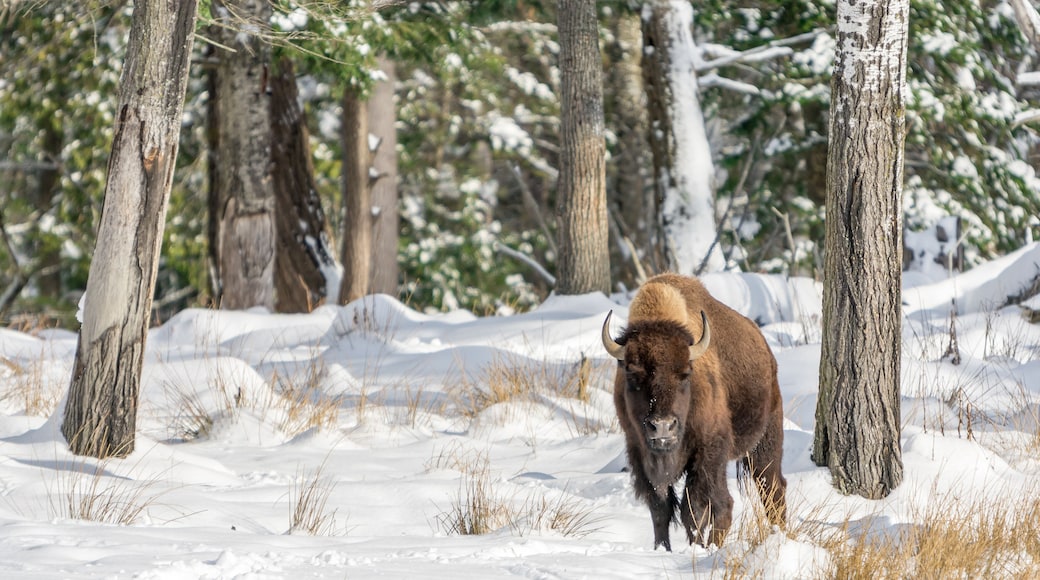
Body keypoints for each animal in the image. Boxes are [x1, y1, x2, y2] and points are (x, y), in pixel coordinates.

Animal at [602, 273, 786, 550]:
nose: (663, 426)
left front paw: (698, 548)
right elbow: (660, 507)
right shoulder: (639, 451)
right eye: (632, 373)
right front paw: (662, 549)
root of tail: (767, 353)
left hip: (763, 445)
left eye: (685, 373)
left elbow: (697, 508)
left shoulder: (707, 451)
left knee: (766, 492)